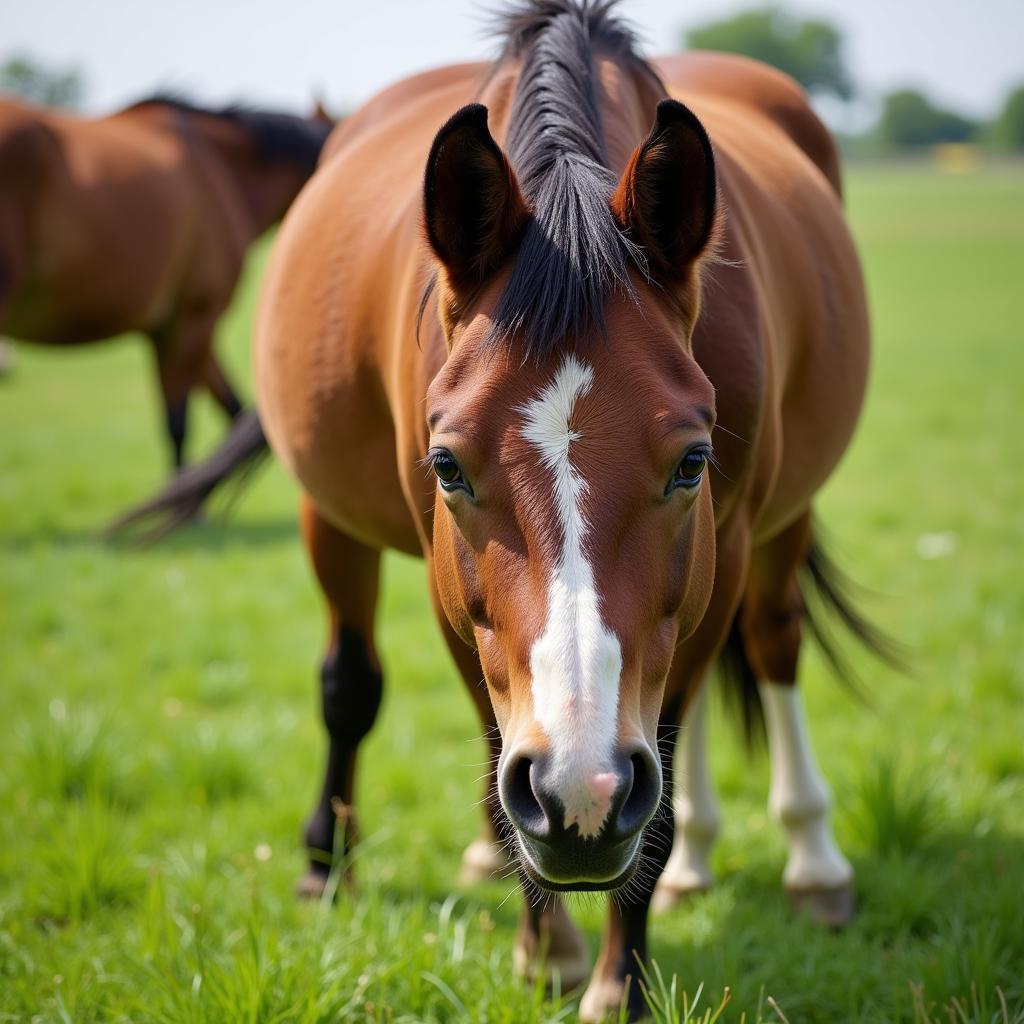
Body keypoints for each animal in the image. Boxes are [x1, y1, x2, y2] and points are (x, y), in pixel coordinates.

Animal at [119, 0, 884, 1015]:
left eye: (692, 462)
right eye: (447, 464)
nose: (579, 791)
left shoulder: (719, 553)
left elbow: (663, 763)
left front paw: (619, 982)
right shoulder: (435, 577)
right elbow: (424, 713)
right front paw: (544, 945)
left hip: (778, 526)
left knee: (772, 643)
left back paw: (810, 863)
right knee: (362, 684)